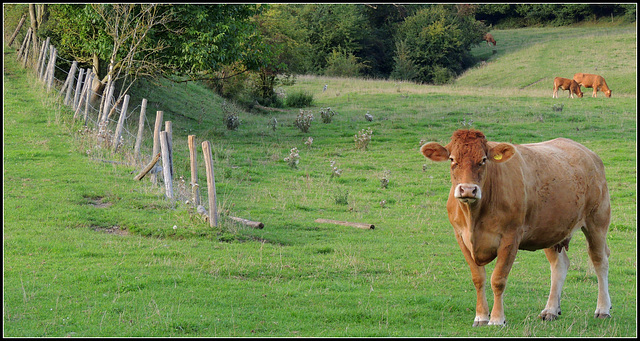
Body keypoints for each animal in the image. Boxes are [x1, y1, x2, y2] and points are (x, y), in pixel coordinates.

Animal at [422, 129, 612, 326]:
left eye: (483, 159)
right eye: (452, 159)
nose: (467, 190)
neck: (474, 216)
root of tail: (588, 153)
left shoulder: (510, 237)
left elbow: (498, 279)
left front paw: (497, 319)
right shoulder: (461, 237)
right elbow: (478, 278)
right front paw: (481, 316)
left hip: (597, 221)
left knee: (600, 260)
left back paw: (603, 309)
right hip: (552, 229)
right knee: (559, 265)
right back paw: (551, 310)